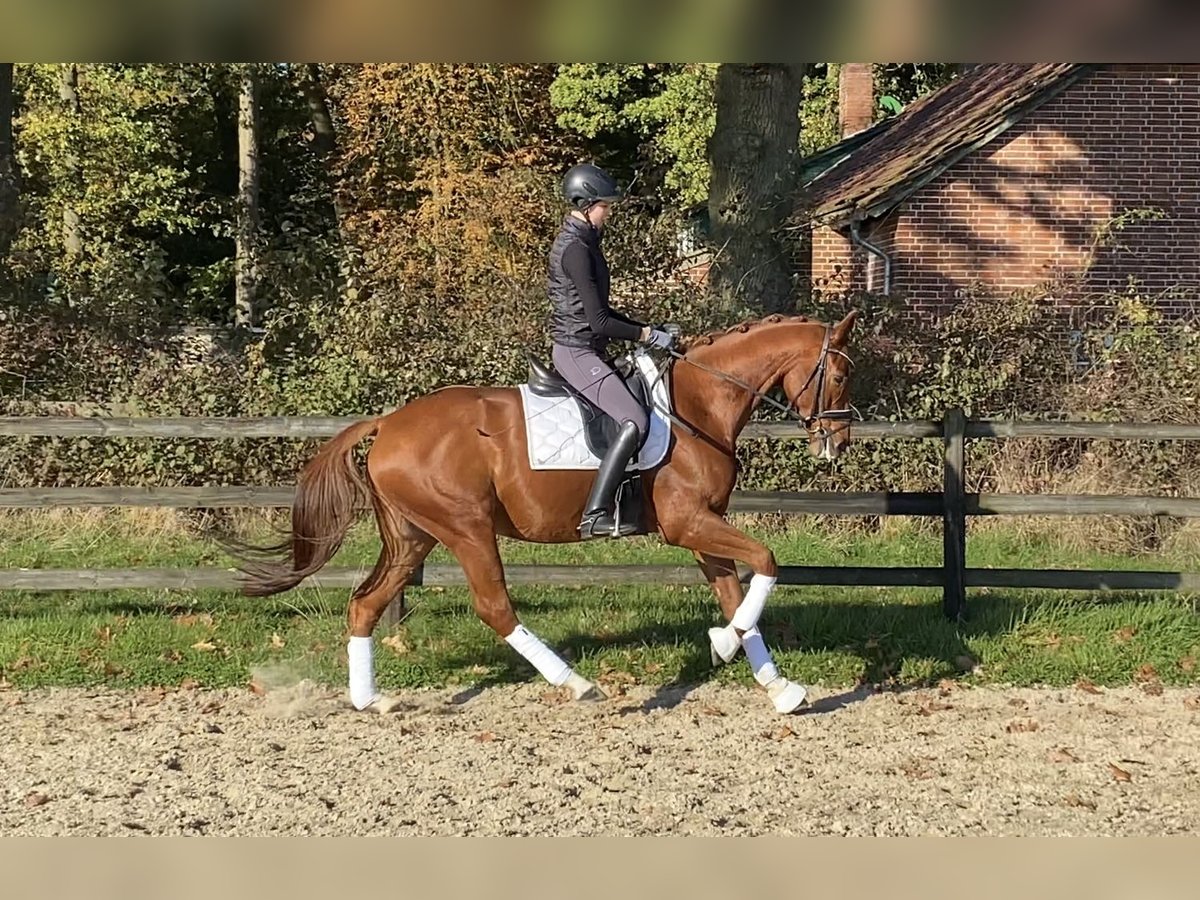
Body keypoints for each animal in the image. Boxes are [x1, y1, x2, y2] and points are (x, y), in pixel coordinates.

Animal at [231, 312, 854, 720]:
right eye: (842, 374)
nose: (839, 442)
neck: (698, 405)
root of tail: (388, 423)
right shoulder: (686, 524)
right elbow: (767, 562)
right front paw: (724, 646)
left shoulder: (703, 529)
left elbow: (735, 595)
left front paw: (776, 686)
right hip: (466, 529)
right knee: (494, 607)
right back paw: (577, 684)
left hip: (413, 537)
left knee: (365, 602)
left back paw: (370, 699)